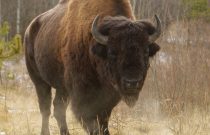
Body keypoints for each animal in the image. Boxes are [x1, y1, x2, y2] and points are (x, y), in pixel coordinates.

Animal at [24, 0, 162, 134]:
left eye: (146, 52)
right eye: (112, 52)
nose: (132, 83)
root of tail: (29, 29)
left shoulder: (108, 100)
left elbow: (103, 123)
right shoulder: (82, 98)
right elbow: (92, 125)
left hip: (62, 87)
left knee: (58, 109)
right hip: (39, 81)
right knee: (45, 108)